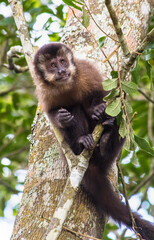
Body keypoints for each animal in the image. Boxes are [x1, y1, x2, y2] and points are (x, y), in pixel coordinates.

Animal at [33, 43, 154, 240]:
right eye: (52, 65)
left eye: (63, 61)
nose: (61, 70)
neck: (66, 85)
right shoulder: (44, 92)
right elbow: (52, 115)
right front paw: (61, 118)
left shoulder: (85, 70)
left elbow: (105, 94)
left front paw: (98, 109)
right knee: (74, 109)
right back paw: (82, 143)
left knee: (120, 114)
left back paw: (106, 140)